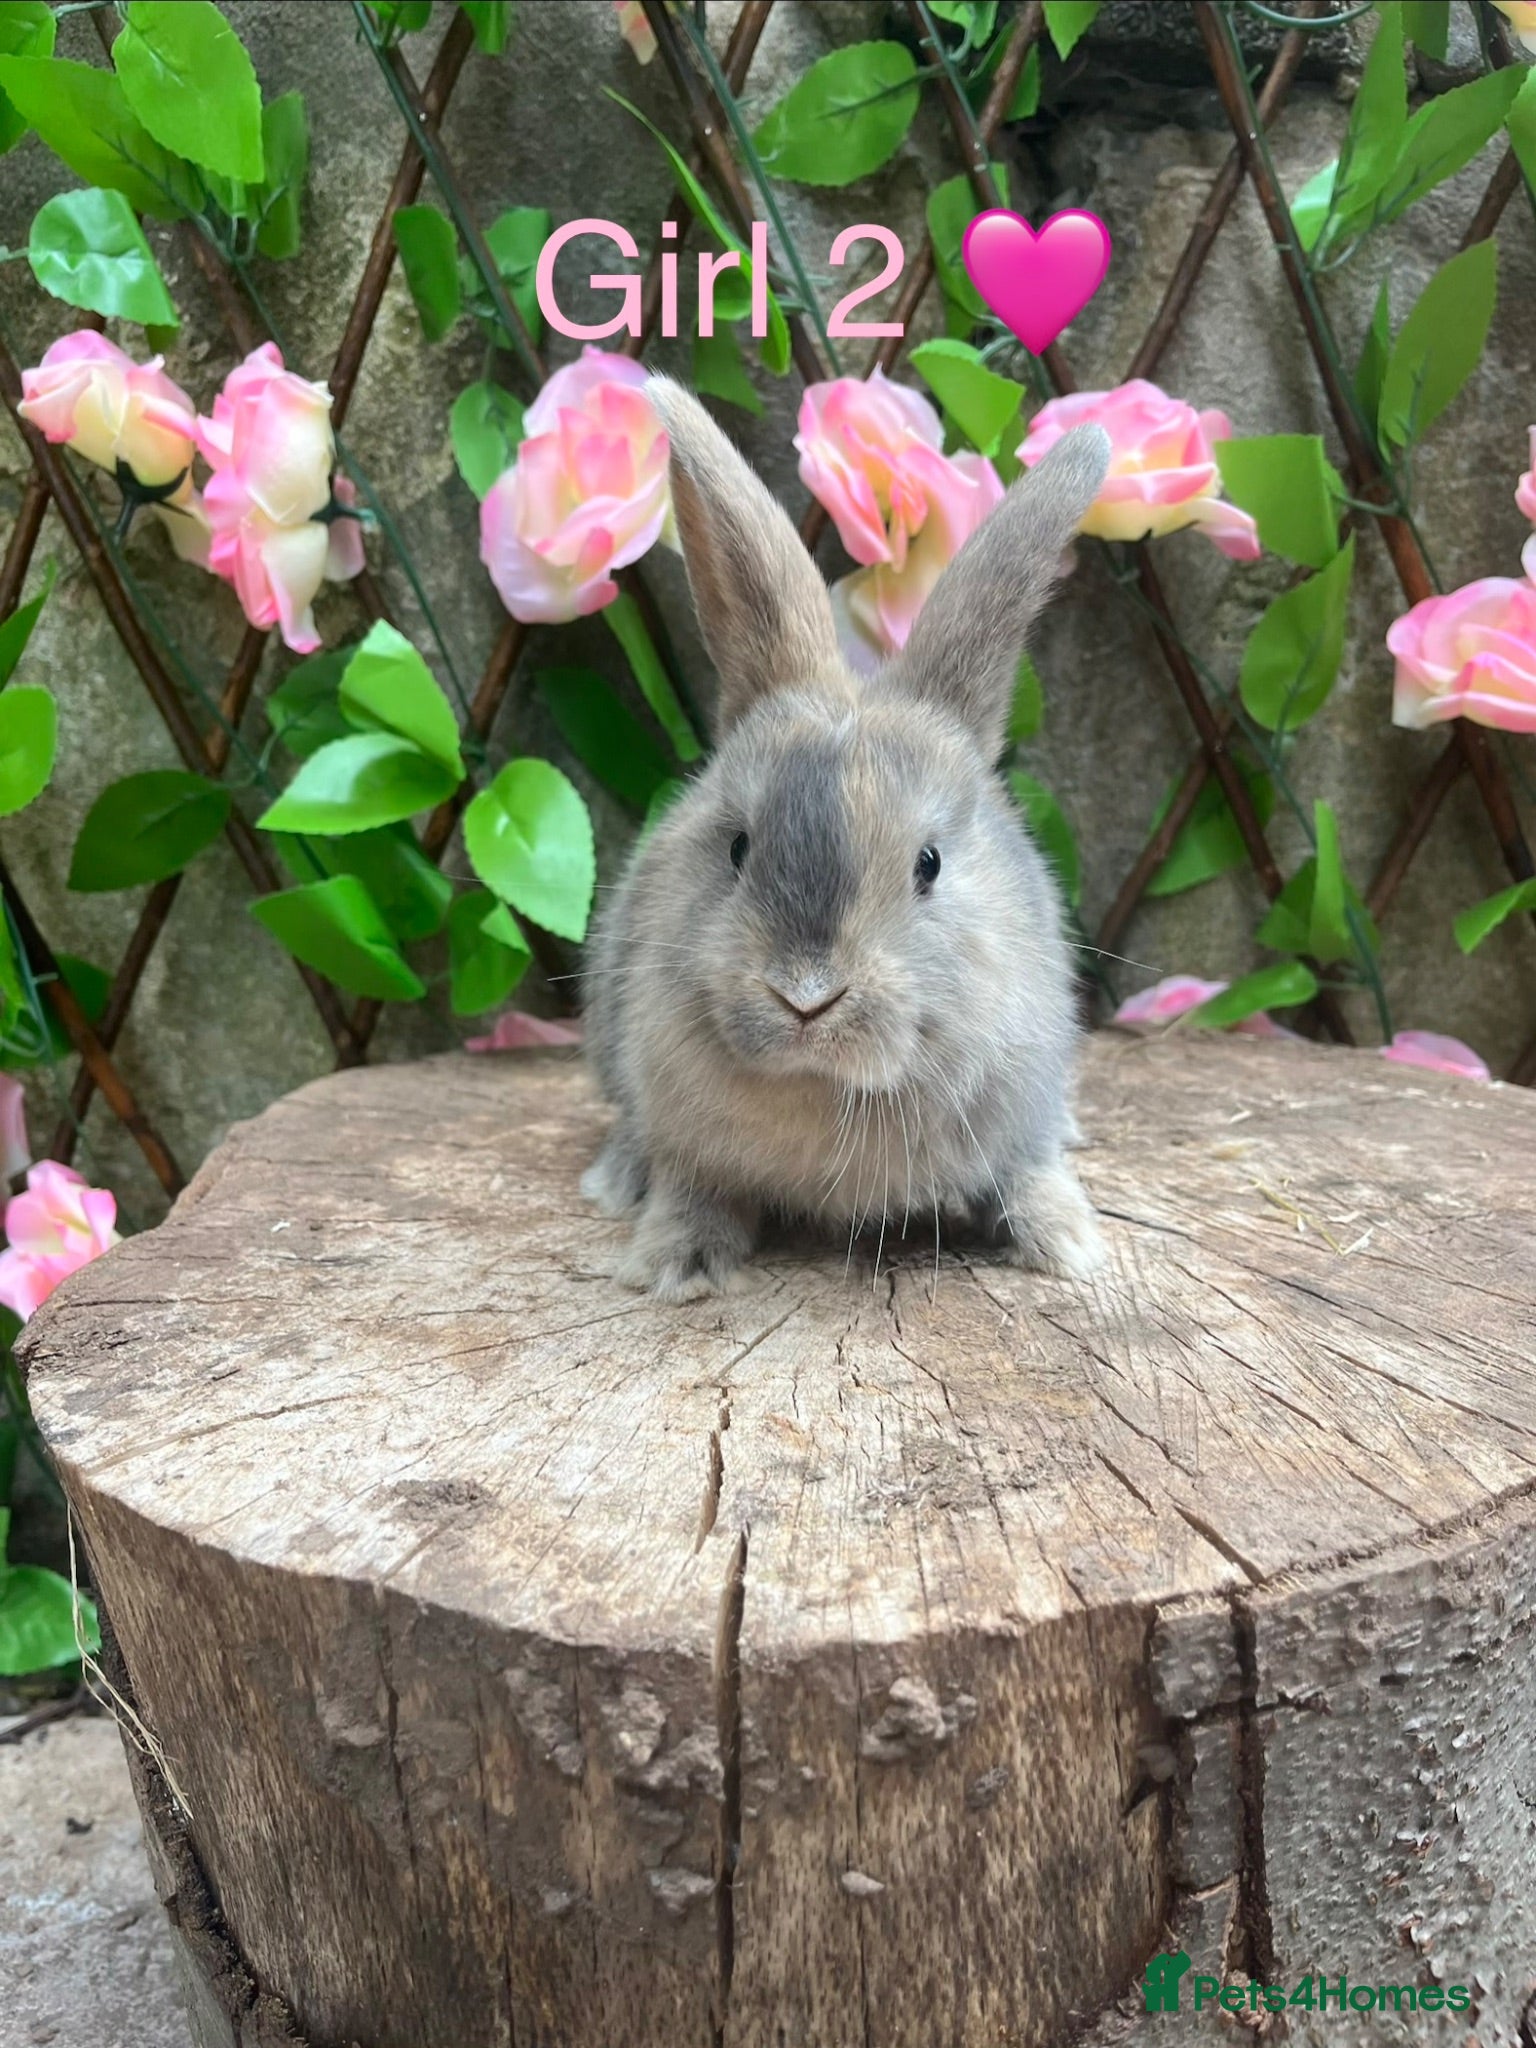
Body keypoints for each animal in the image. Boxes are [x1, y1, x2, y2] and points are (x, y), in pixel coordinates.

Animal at [581, 377, 1112, 1303]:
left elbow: (1029, 1175)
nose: (805, 997)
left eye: (929, 864)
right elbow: (693, 1191)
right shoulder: (687, 1141)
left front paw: (1070, 1244)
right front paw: (674, 1266)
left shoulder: (1018, 1117)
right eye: (738, 849)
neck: (828, 1089)